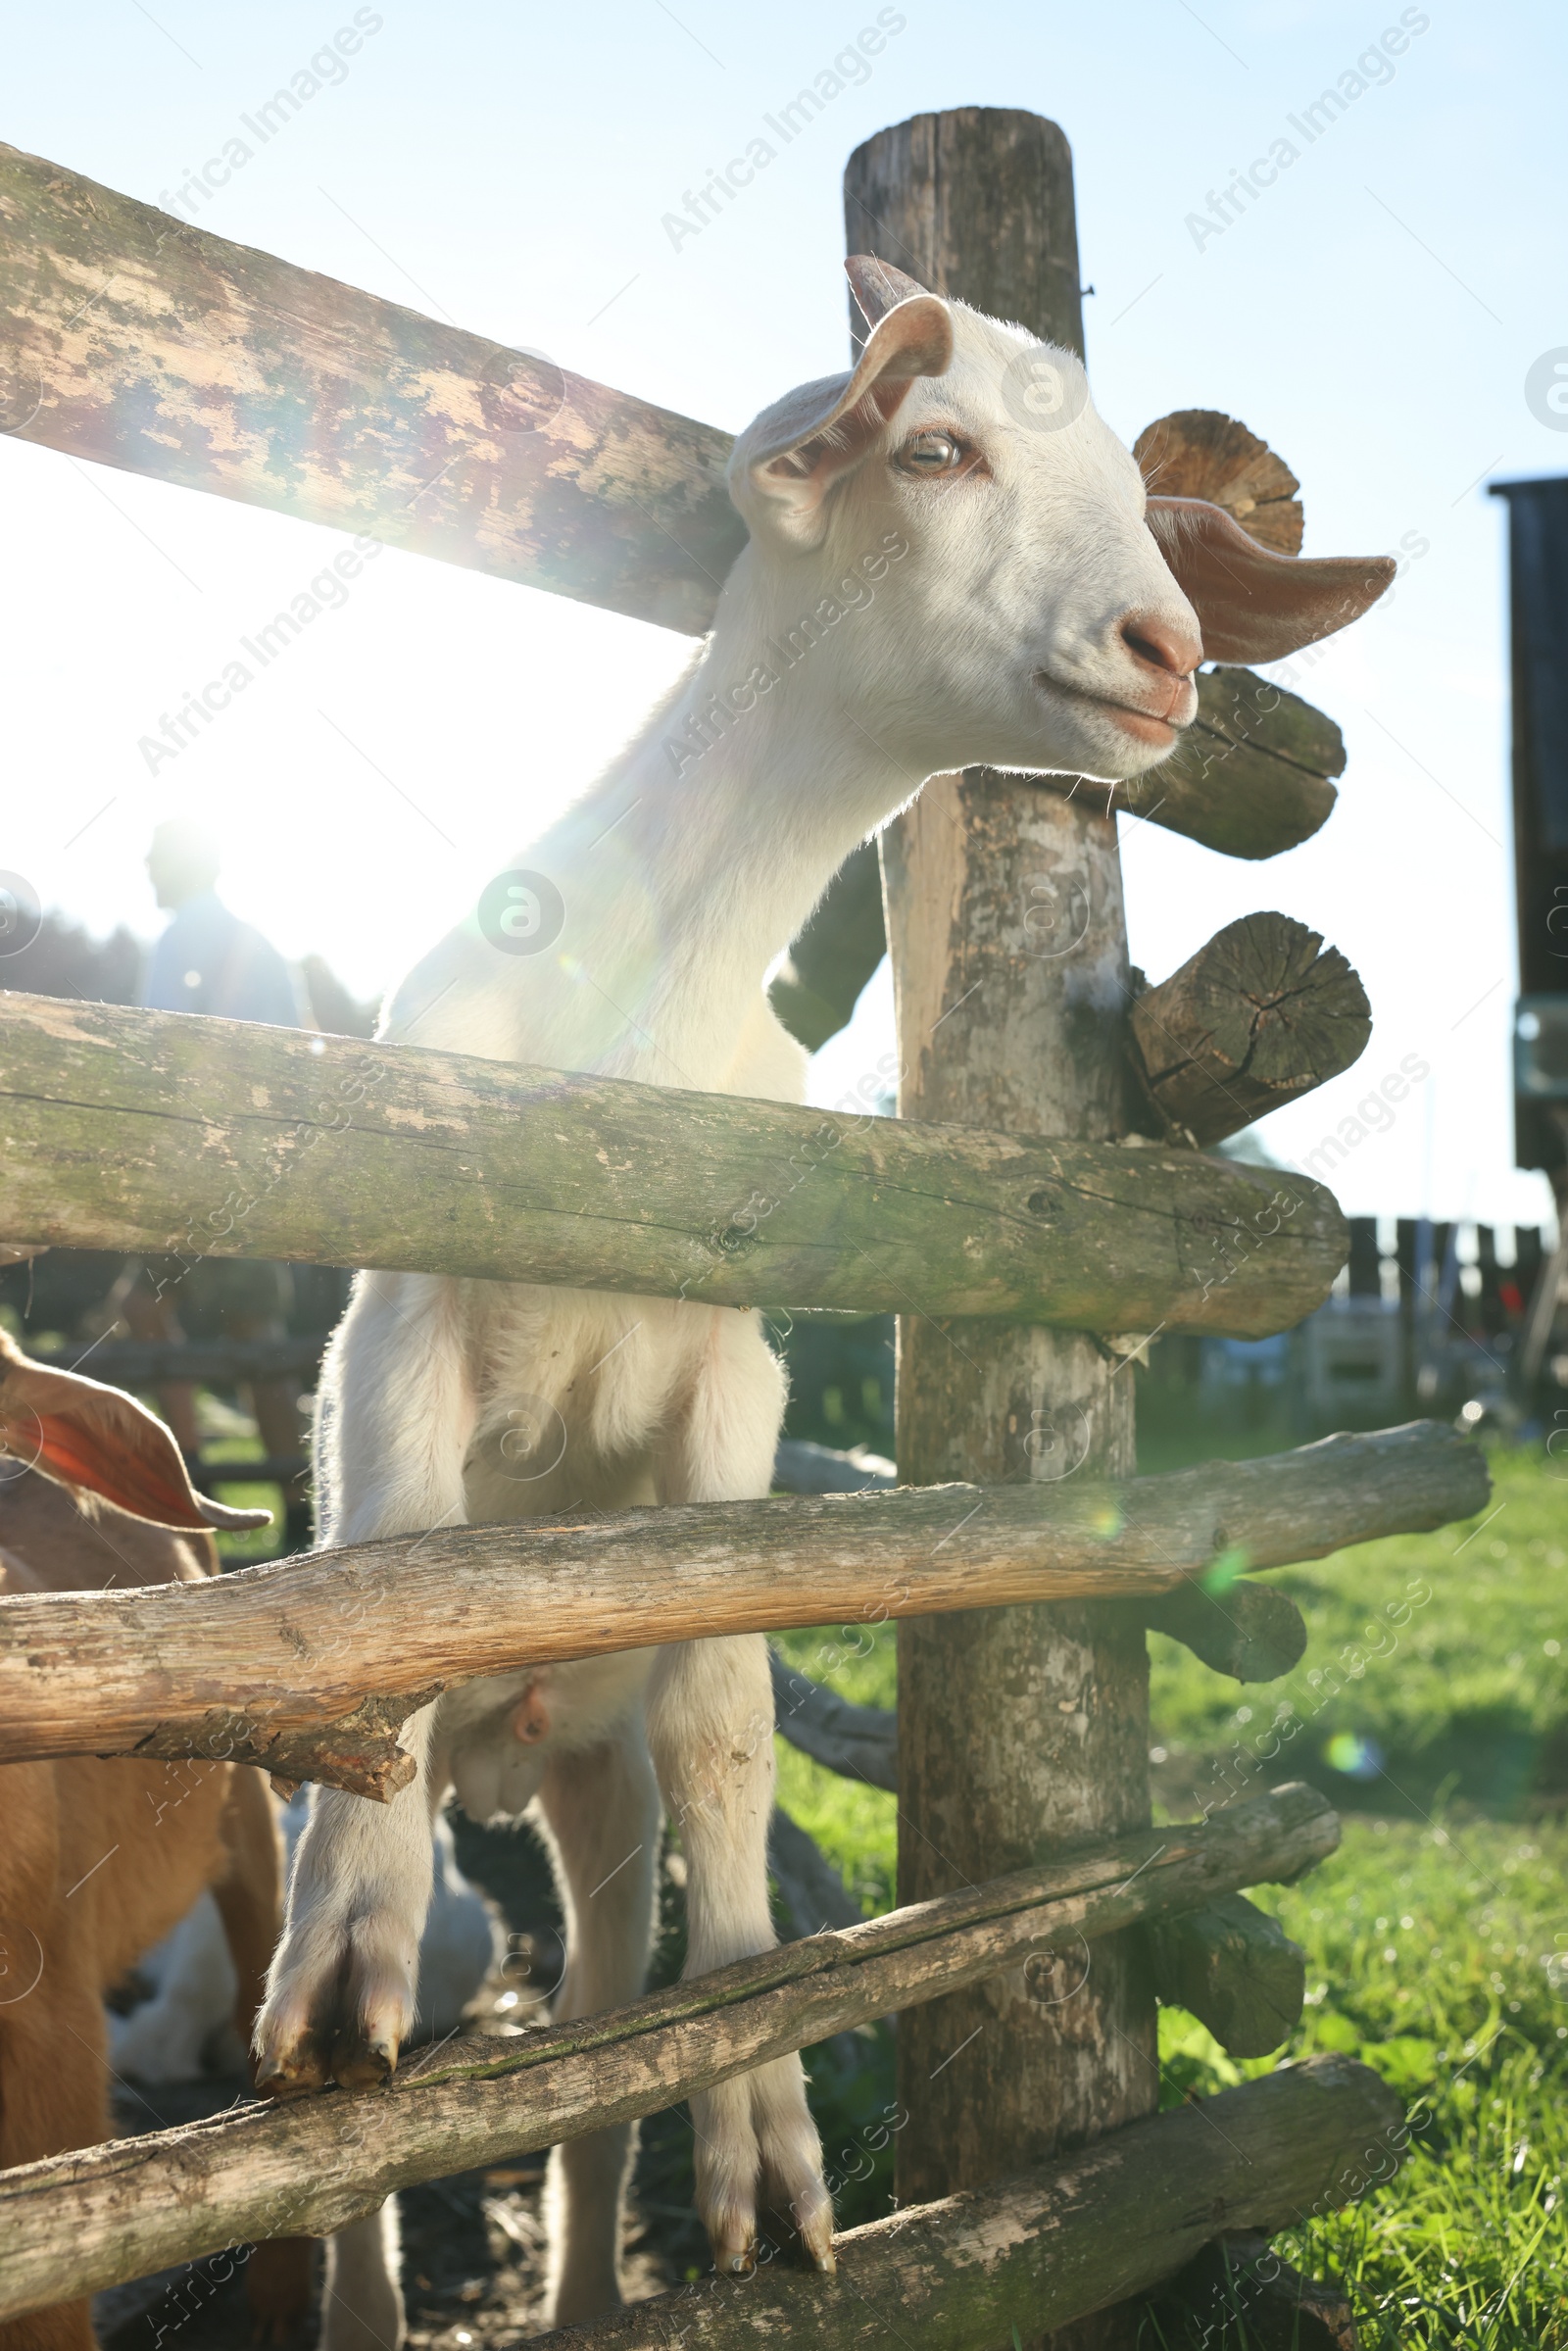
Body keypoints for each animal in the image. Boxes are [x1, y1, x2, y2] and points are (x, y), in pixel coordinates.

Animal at [251, 262, 1392, 2331]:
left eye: (1135, 497)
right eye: (934, 449)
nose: (1168, 646)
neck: (633, 1029)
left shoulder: (738, 1377)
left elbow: (730, 1711)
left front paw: (766, 2142)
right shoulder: (392, 1306)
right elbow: (387, 1596)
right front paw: (354, 1955)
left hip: (589, 1781)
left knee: (594, 2047)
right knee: (355, 2155)